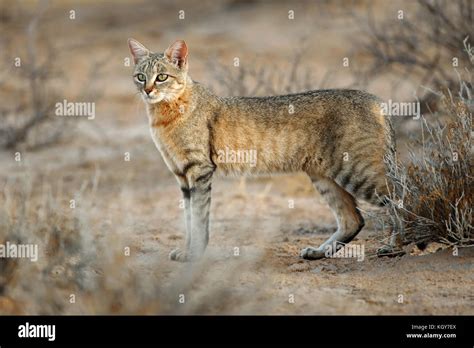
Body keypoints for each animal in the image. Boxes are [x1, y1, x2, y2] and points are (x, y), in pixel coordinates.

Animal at [128, 38, 394, 260]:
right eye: (140, 76)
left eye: (162, 77)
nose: (147, 90)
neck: (163, 115)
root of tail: (376, 100)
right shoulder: (182, 175)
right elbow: (189, 219)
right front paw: (186, 250)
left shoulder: (199, 169)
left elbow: (199, 218)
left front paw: (195, 253)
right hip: (324, 176)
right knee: (353, 219)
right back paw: (319, 252)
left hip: (359, 172)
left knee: (398, 197)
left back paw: (394, 247)